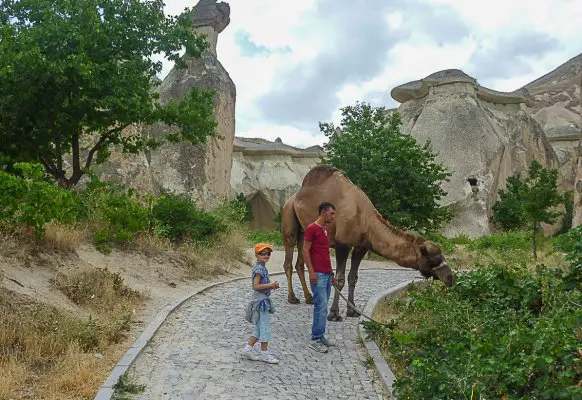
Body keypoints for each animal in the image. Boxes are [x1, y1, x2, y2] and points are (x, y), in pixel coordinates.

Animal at [282, 164, 456, 320]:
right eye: (433, 259)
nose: (450, 278)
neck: (364, 218)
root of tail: (294, 197)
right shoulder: (342, 244)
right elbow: (339, 279)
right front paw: (334, 314)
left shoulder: (362, 247)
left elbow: (353, 277)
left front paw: (352, 311)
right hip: (289, 216)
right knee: (289, 258)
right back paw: (292, 298)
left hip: (304, 231)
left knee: (300, 261)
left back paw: (309, 298)